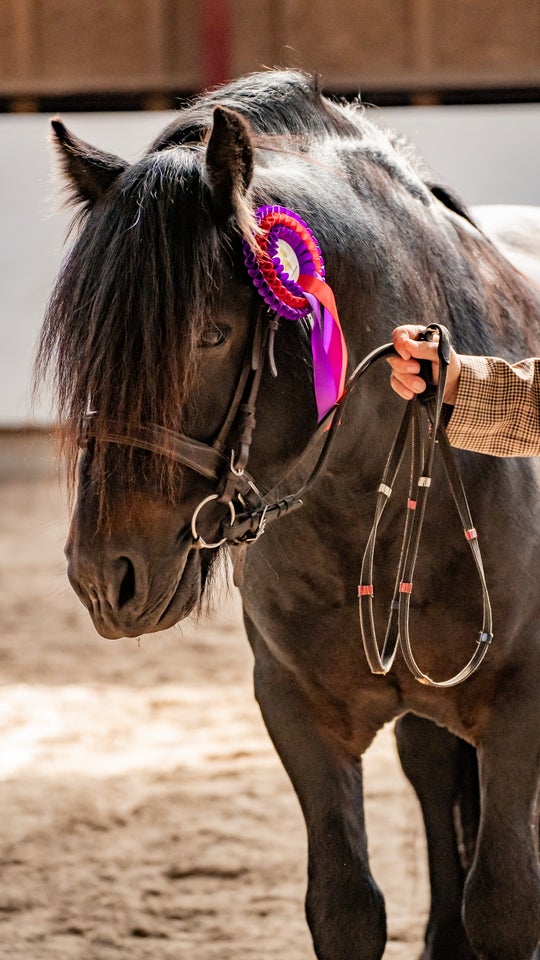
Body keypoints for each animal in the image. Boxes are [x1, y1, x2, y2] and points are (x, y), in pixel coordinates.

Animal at [38, 73, 540, 960]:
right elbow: (345, 908)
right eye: (89, 347)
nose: (106, 579)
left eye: (211, 334)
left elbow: (507, 905)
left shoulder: (519, 702)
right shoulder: (297, 711)